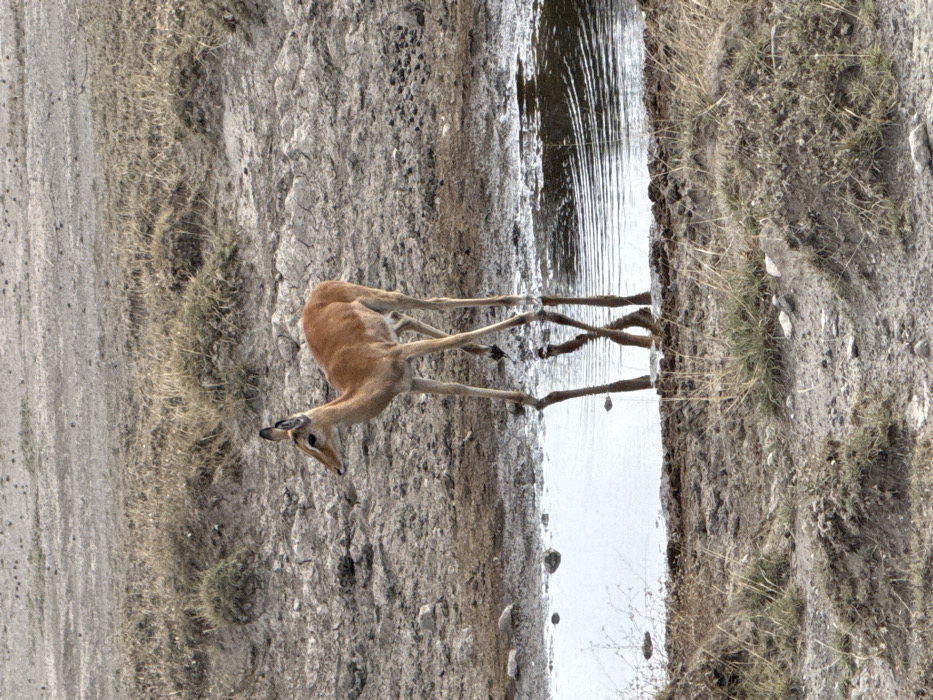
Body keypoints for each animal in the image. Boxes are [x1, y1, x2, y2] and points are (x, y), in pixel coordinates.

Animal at [260, 281, 656, 474]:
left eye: (310, 438)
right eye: (303, 450)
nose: (338, 470)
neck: (364, 383)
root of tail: (316, 291)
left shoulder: (402, 357)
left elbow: (454, 339)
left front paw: (528, 318)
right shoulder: (411, 382)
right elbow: (458, 386)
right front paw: (528, 399)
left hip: (386, 298)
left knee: (434, 303)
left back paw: (524, 306)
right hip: (387, 316)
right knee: (409, 318)